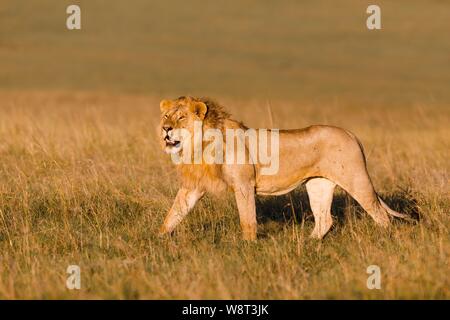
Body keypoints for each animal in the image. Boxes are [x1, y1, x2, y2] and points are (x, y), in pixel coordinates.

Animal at [158, 95, 408, 240]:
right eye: (166, 116)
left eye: (181, 118)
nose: (165, 129)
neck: (200, 145)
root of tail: (350, 134)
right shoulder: (193, 187)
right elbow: (174, 213)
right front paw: (159, 238)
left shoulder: (244, 184)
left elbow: (247, 218)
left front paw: (248, 247)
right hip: (318, 185)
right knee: (325, 220)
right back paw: (309, 244)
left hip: (357, 180)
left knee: (380, 215)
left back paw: (385, 239)